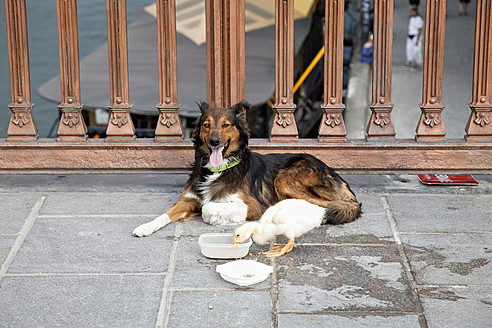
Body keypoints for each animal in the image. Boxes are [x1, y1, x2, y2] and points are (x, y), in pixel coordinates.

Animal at [131, 101, 362, 237]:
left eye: (226, 125)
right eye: (206, 124)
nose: (214, 141)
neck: (218, 169)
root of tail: (333, 171)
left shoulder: (253, 205)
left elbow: (209, 207)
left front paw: (217, 217)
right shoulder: (187, 199)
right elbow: (165, 214)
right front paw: (145, 227)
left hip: (285, 178)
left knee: (328, 205)